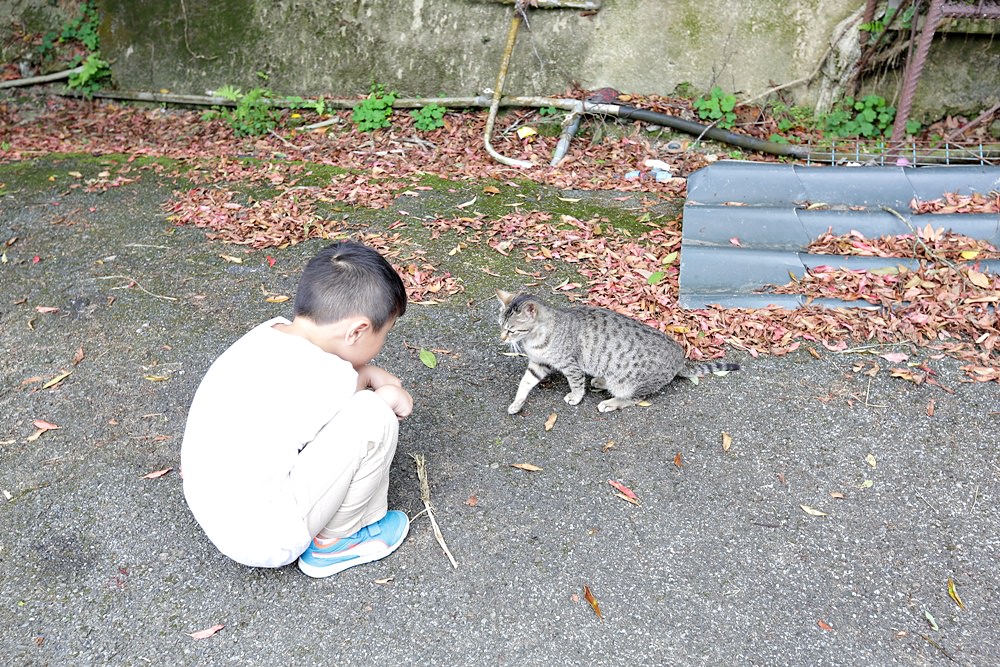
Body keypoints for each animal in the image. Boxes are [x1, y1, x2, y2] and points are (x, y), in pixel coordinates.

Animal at [496, 290, 740, 412]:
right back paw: (599, 381)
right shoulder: (539, 364)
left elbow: (576, 384)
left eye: (511, 329)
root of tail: (680, 358)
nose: (501, 337)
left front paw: (575, 397)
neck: (533, 339)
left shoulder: (570, 365)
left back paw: (610, 402)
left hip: (630, 383)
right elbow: (525, 383)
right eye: (500, 325)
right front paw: (517, 404)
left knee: (634, 398)